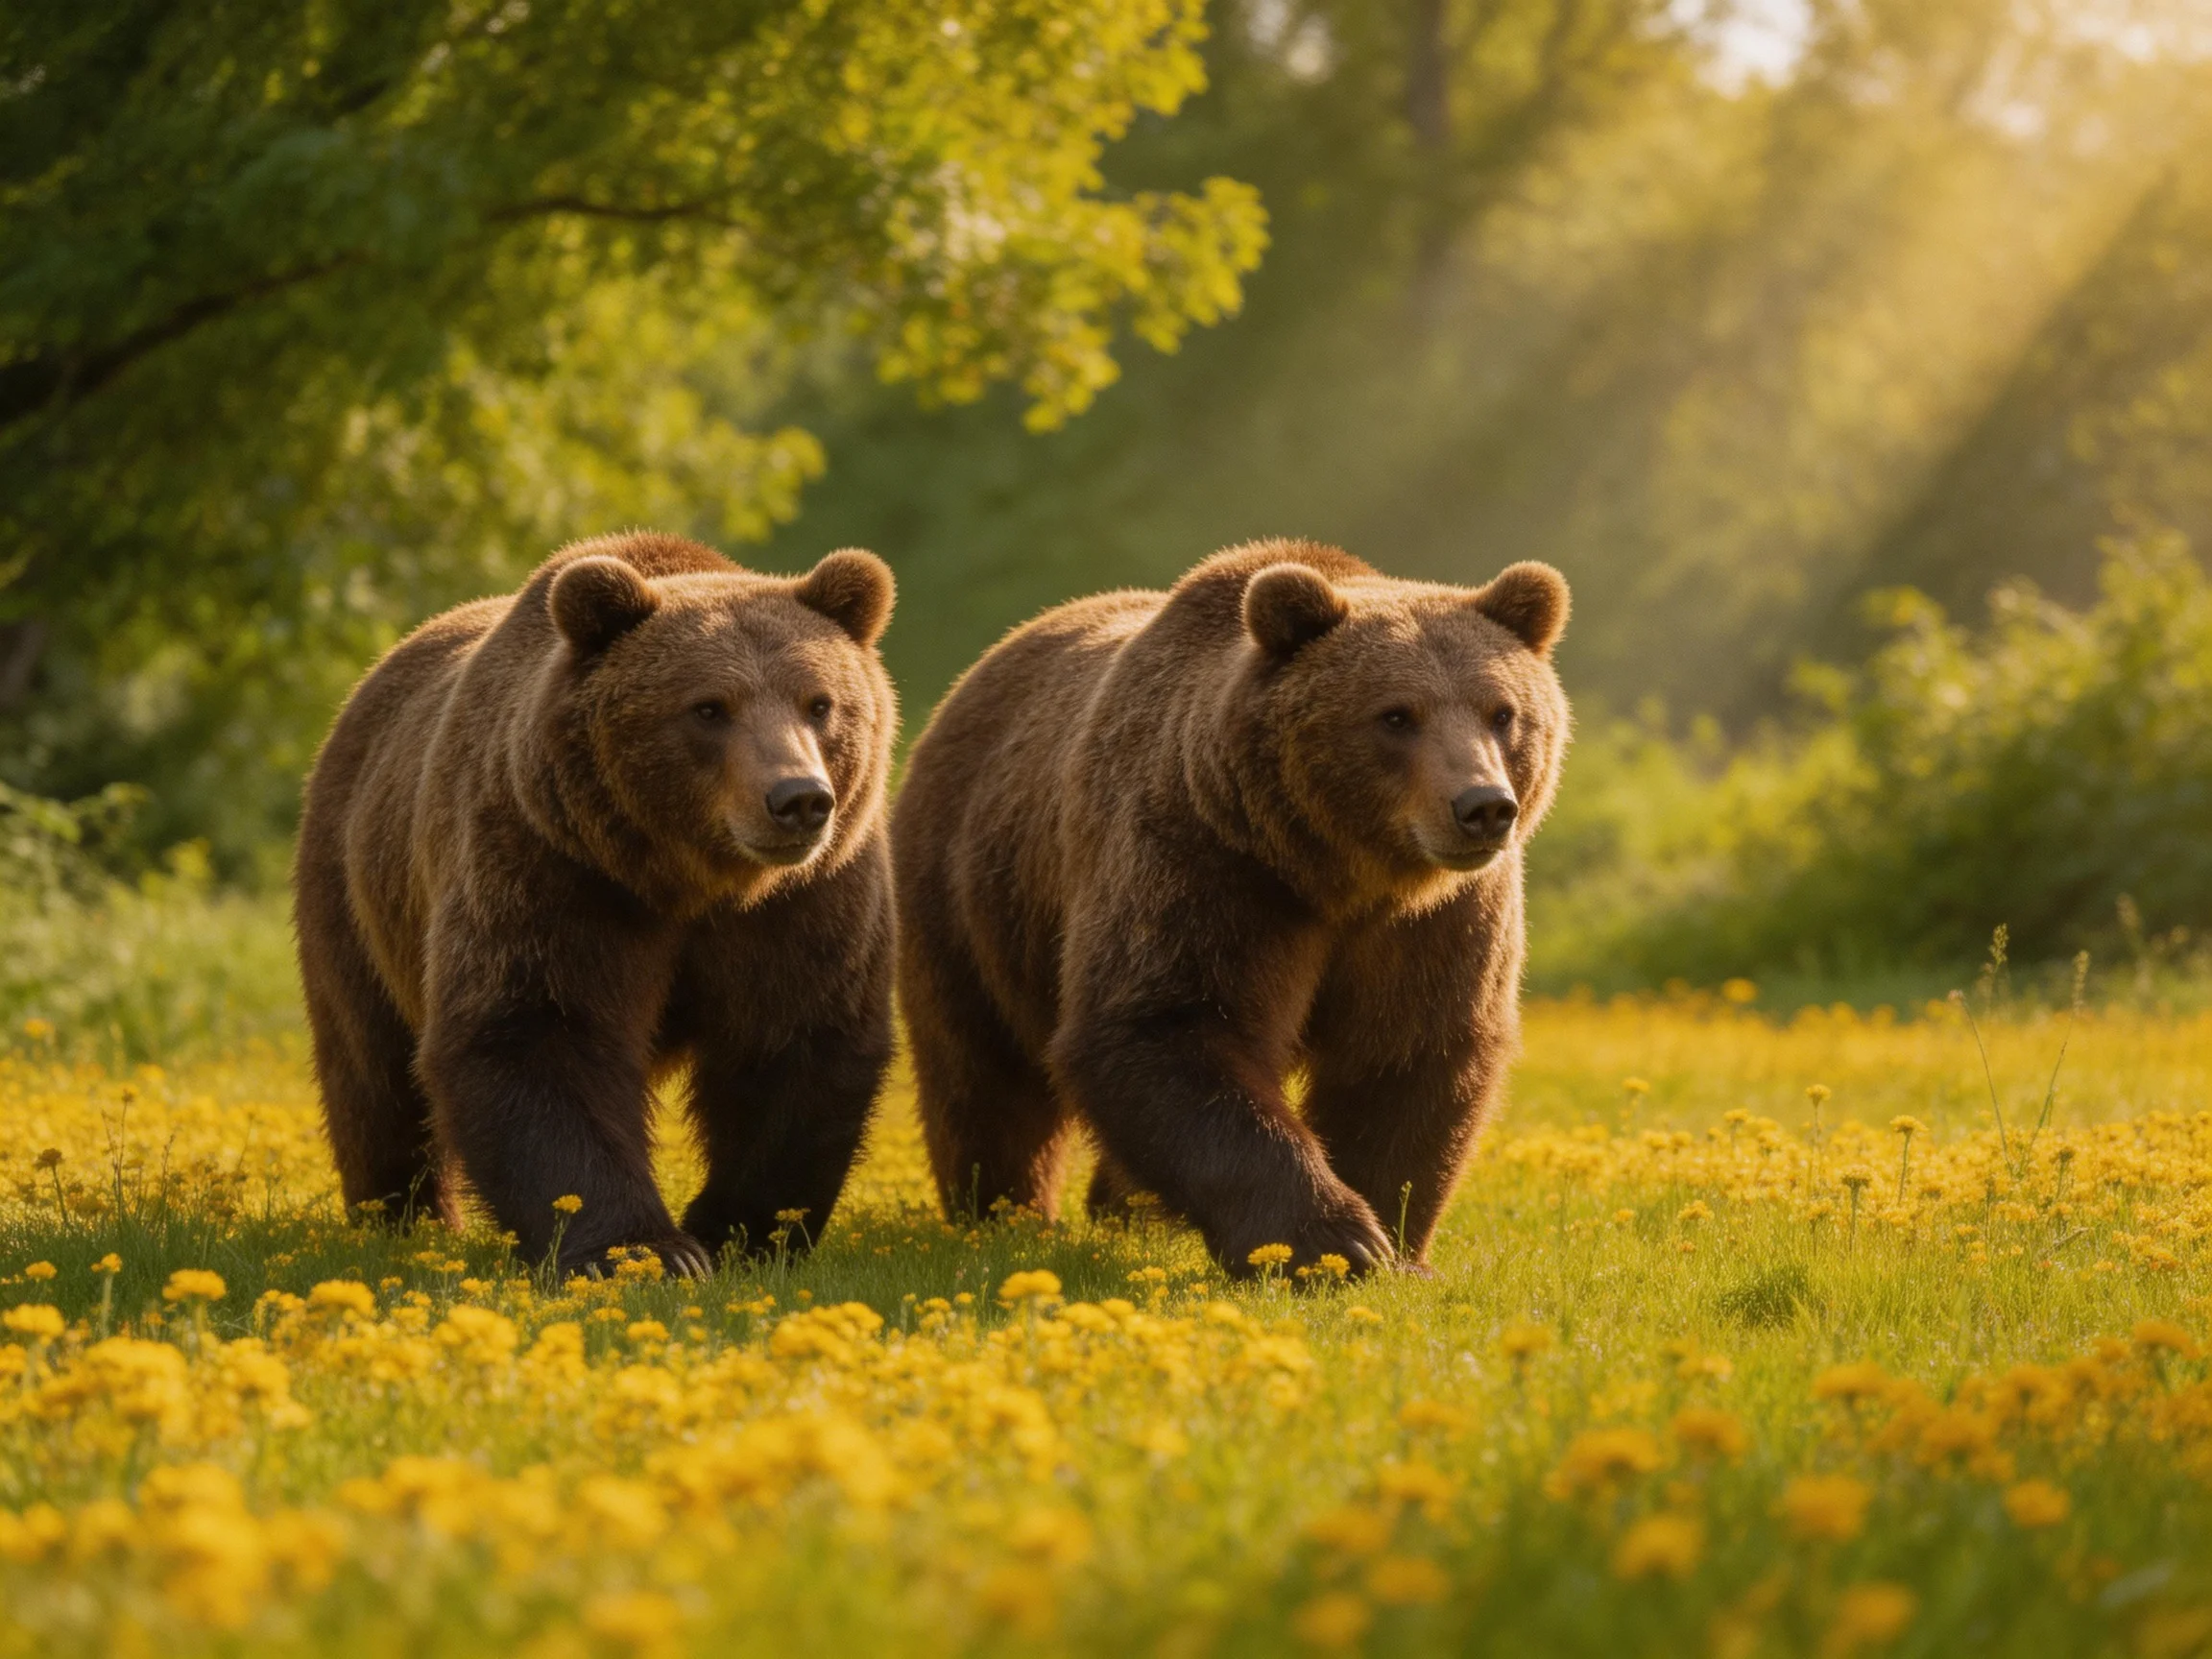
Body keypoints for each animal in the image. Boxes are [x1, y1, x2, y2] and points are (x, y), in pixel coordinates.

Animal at [293, 530, 898, 1277]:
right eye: (709, 707)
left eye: (819, 703)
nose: (799, 799)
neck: (691, 878)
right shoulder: (552, 867)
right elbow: (538, 1032)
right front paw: (644, 1250)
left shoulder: (805, 900)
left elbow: (795, 1036)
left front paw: (738, 1235)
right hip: (357, 886)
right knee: (370, 1064)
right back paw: (401, 1219)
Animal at [891, 539, 1568, 1277]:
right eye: (1396, 715)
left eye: (1502, 712)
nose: (1483, 807)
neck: (1340, 874)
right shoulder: (1207, 863)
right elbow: (1169, 1026)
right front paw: (1329, 1240)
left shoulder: (1437, 919)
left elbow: (1411, 1053)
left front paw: (1393, 1247)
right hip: (971, 889)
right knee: (982, 1071)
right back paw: (1004, 1213)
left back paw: (1125, 1212)